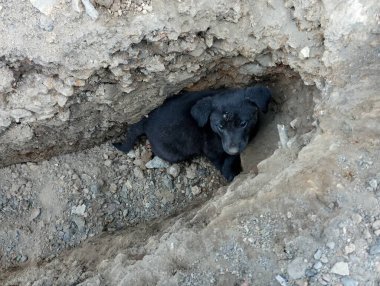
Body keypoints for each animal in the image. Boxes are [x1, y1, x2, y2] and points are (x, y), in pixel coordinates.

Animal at [114, 86, 272, 182]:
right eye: (220, 126)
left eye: (243, 124)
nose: (232, 149)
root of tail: (145, 122)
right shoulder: (212, 149)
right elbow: (223, 161)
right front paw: (229, 173)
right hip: (173, 153)